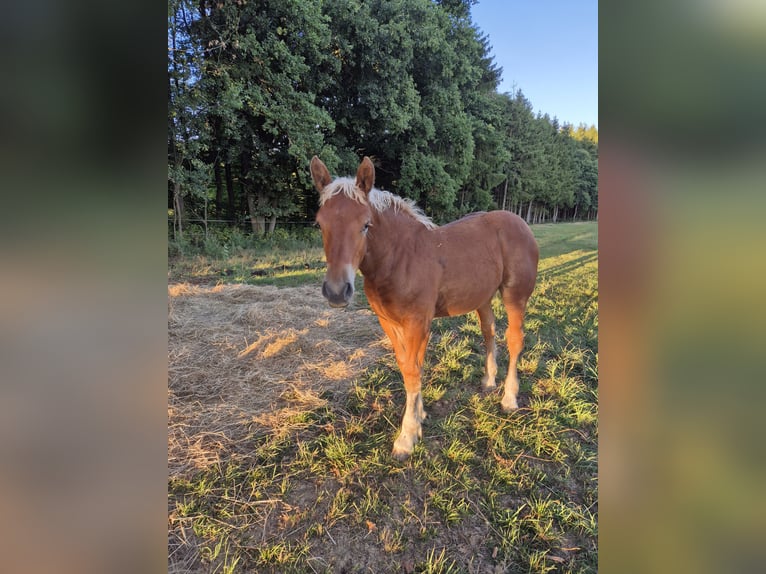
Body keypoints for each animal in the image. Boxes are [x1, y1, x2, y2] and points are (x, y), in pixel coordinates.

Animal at [310, 156, 539, 460]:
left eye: (365, 225)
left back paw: (509, 398)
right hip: (482, 298)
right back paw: (489, 380)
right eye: (320, 224)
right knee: (489, 332)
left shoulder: (418, 322)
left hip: (515, 295)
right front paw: (418, 419)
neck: (401, 257)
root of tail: (521, 223)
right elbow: (407, 366)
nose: (337, 291)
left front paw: (406, 437)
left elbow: (412, 370)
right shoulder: (389, 322)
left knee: (514, 340)